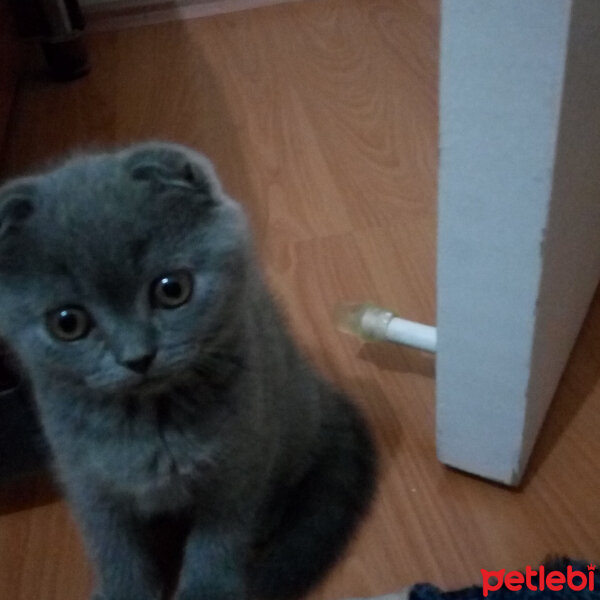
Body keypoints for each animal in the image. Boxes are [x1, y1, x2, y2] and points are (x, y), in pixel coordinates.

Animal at [0, 142, 376, 600]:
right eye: (67, 322)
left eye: (172, 289)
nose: (137, 357)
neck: (152, 420)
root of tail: (318, 386)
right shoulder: (86, 479)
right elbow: (112, 544)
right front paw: (124, 590)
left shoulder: (239, 461)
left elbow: (218, 539)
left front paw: (208, 590)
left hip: (287, 417)